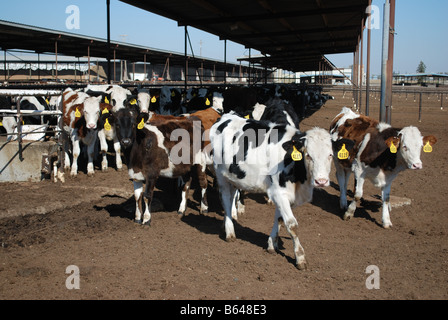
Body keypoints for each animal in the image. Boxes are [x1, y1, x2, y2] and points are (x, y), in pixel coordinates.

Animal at [210, 113, 354, 270]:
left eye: (330, 155)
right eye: (308, 155)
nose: (321, 181)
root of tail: (226, 116)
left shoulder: (288, 196)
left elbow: (279, 219)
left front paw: (272, 245)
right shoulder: (279, 193)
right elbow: (292, 225)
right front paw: (300, 258)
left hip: (234, 177)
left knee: (231, 199)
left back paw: (226, 224)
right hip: (221, 175)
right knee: (225, 198)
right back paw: (230, 232)